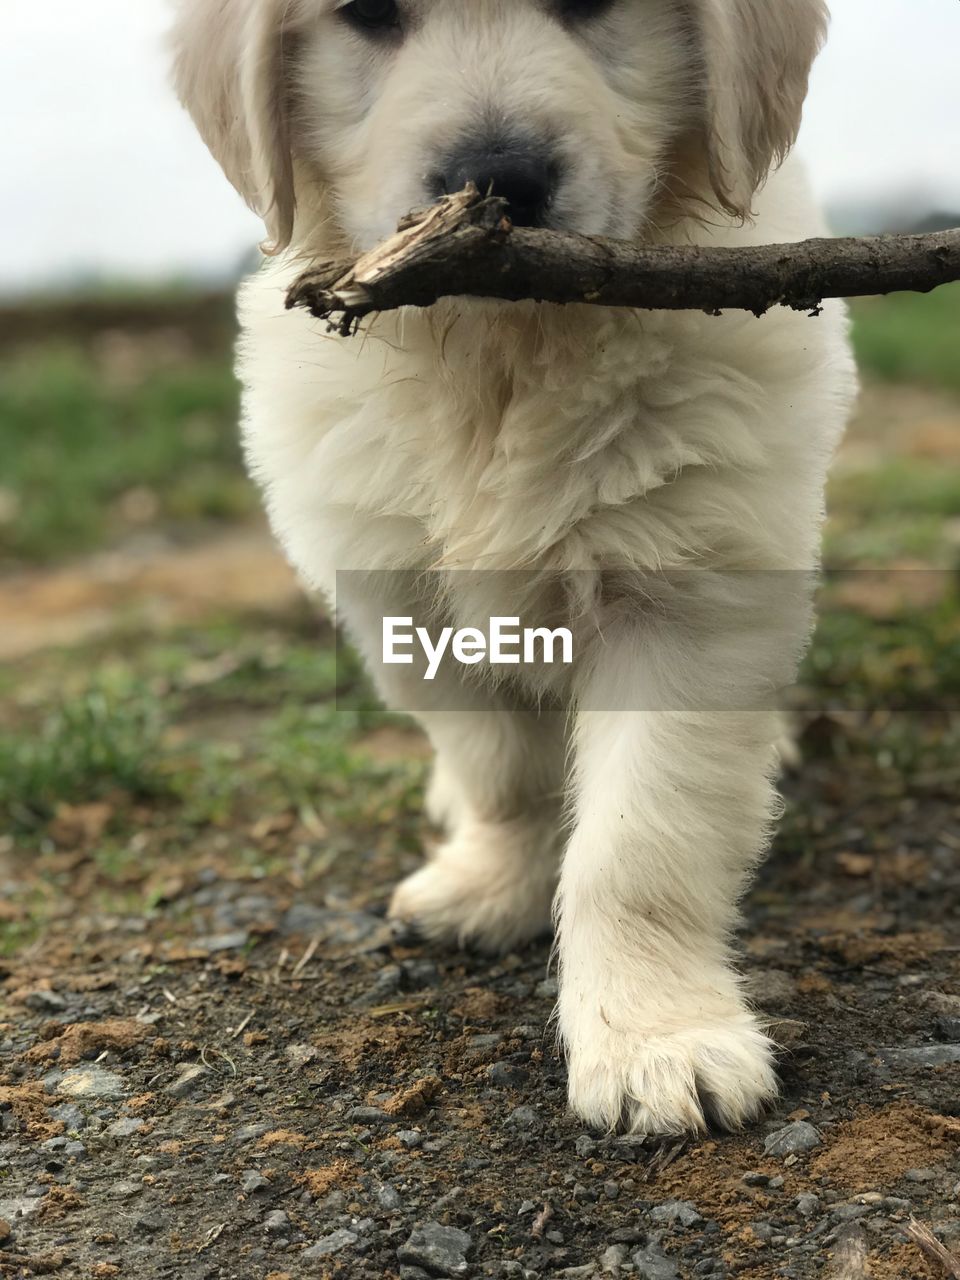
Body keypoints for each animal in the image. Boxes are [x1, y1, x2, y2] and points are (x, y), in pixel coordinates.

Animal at [172, 0, 855, 1141]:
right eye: (365, 16)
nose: (497, 180)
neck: (504, 354)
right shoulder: (404, 594)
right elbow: (500, 758)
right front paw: (498, 882)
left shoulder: (690, 594)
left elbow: (638, 843)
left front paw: (658, 1037)